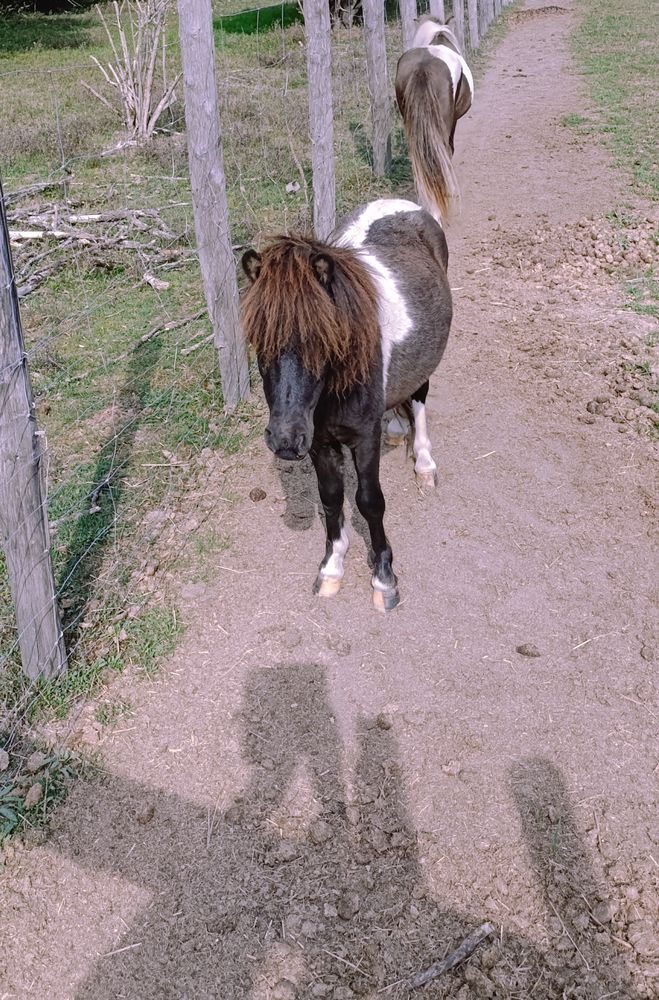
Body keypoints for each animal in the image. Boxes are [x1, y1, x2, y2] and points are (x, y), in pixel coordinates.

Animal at [241, 198, 452, 612]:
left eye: (322, 343)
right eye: (261, 342)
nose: (285, 440)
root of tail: (404, 204)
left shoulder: (362, 438)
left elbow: (369, 501)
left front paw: (384, 578)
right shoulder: (320, 443)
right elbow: (331, 499)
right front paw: (332, 568)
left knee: (419, 396)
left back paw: (423, 463)